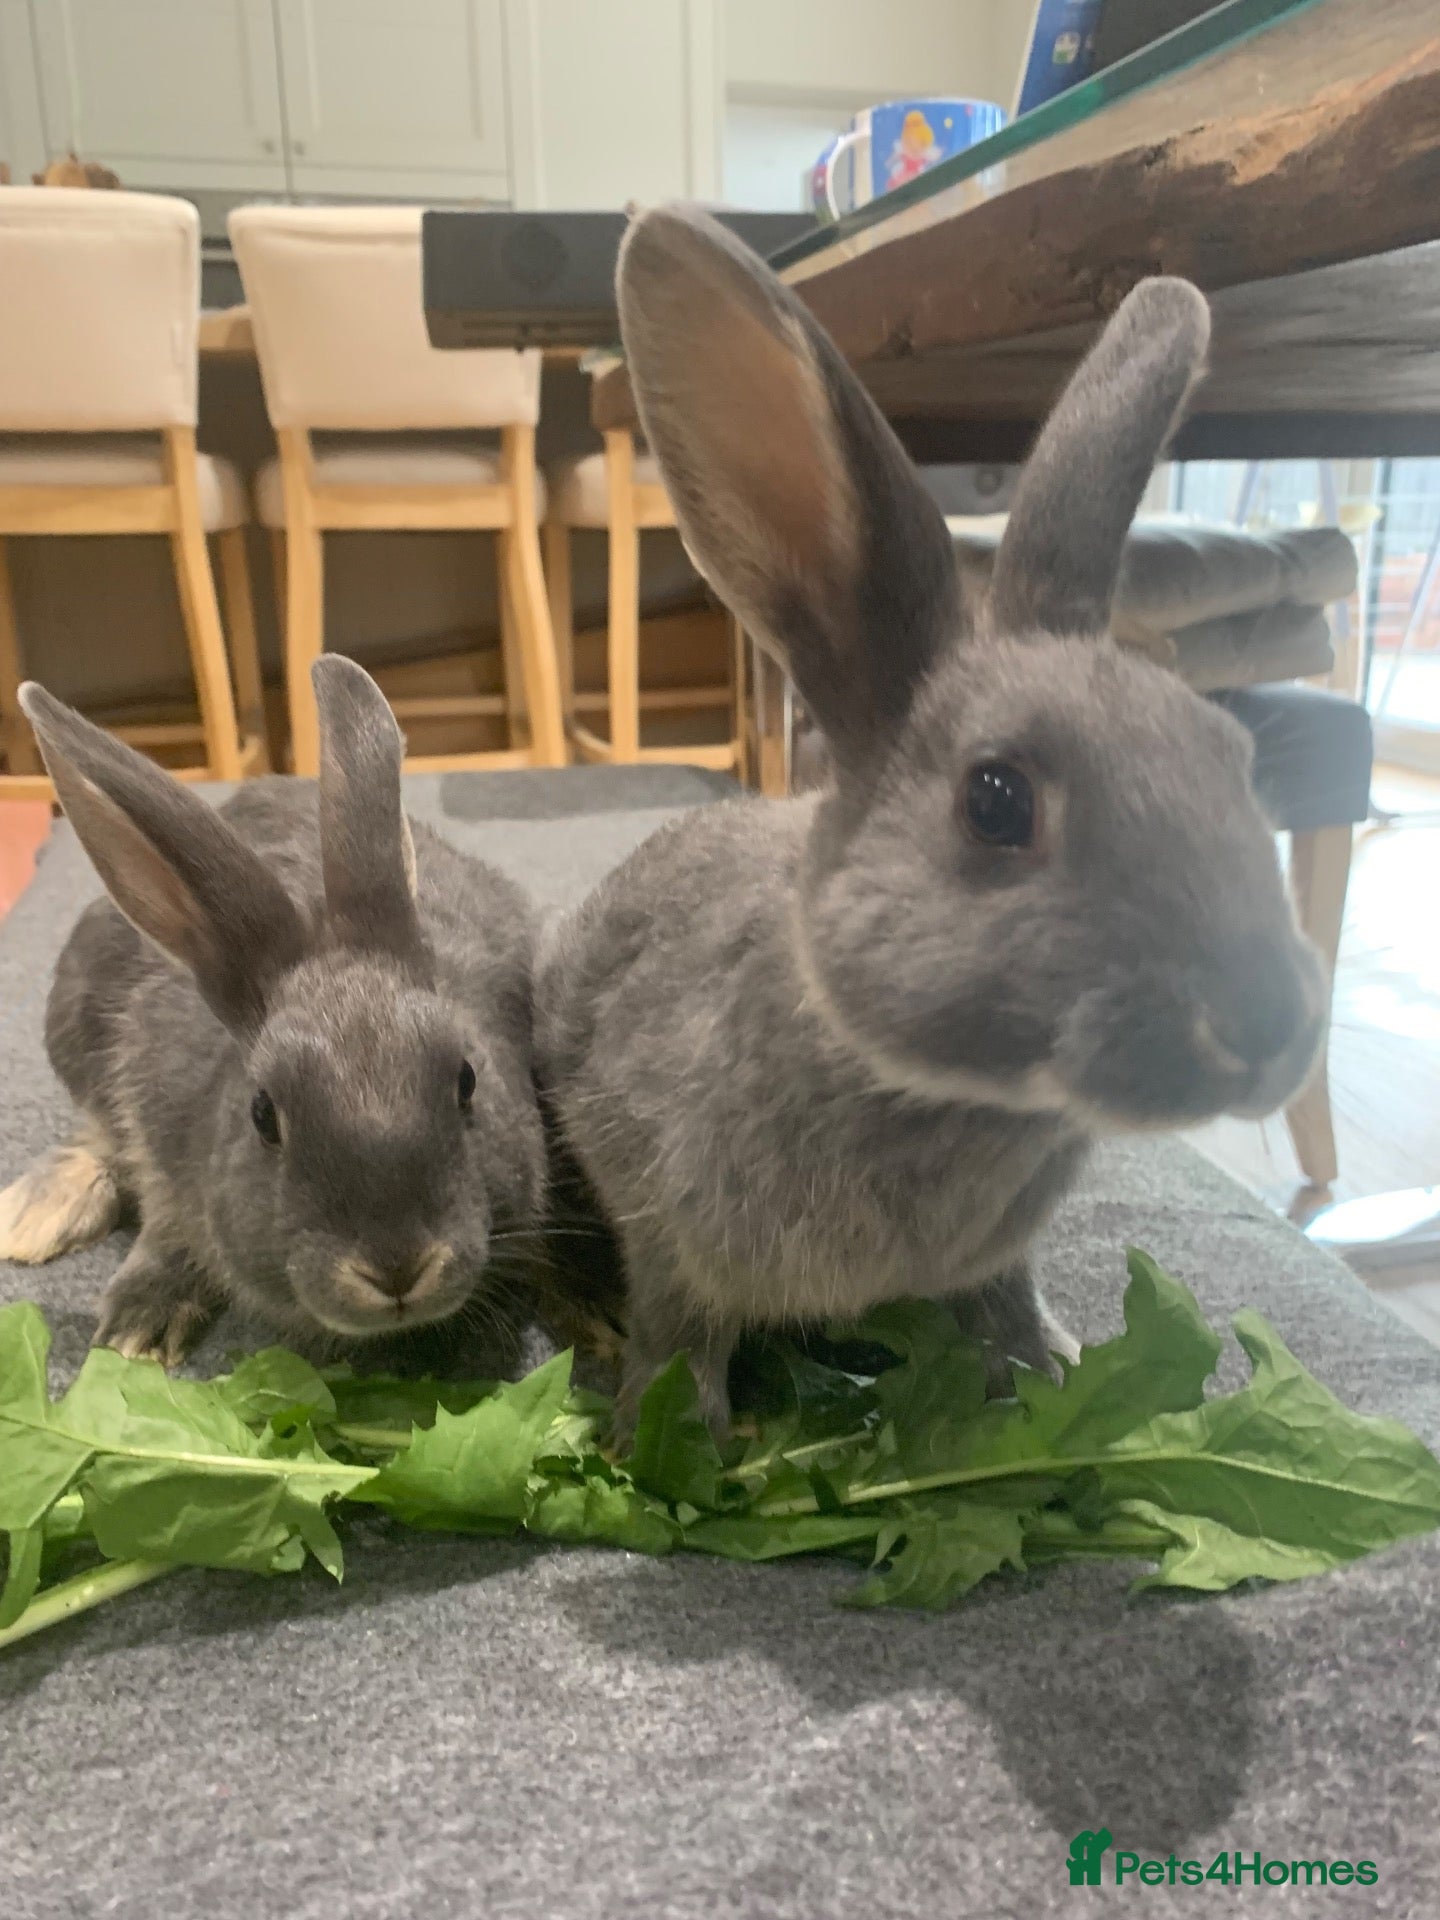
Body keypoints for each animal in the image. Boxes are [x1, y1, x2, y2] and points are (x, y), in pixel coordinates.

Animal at [0, 655, 549, 1366]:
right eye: (263, 1116)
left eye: (467, 1081)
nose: (397, 1267)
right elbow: (165, 1220)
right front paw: (135, 1331)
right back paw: (34, 1215)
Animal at [538, 206, 1327, 1442]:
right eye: (995, 800)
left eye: (1230, 757)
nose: (1269, 1025)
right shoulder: (671, 1234)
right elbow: (679, 1339)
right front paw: (667, 1443)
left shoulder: (993, 1260)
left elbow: (1003, 1313)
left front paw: (1043, 1382)